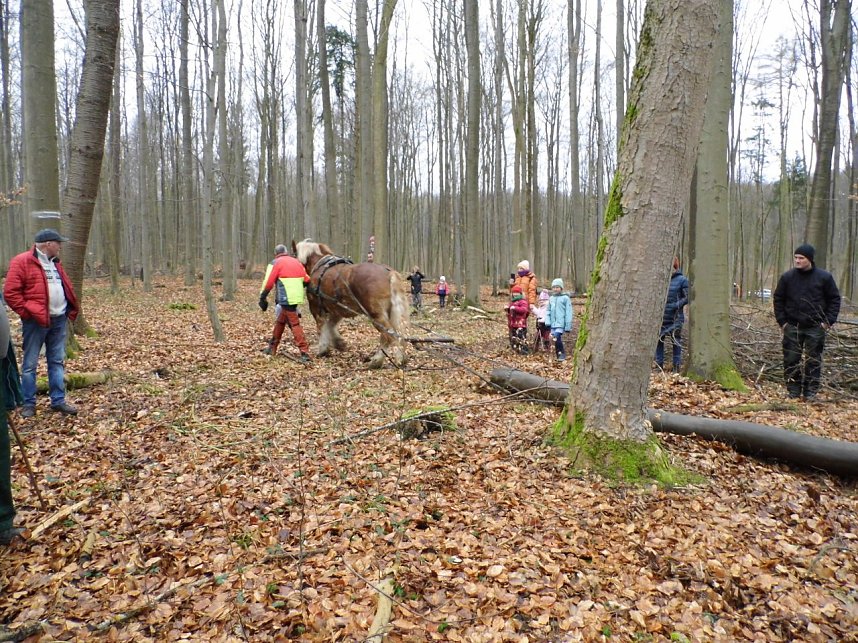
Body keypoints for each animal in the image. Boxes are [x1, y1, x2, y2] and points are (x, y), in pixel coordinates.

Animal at [292, 239, 409, 369]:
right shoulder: (336, 309)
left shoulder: (316, 308)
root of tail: (389, 272)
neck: (319, 266)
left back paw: (376, 361)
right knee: (398, 334)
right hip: (391, 312)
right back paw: (401, 358)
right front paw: (339, 343)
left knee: (388, 335)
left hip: (376, 315)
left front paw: (323, 349)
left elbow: (321, 327)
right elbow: (330, 325)